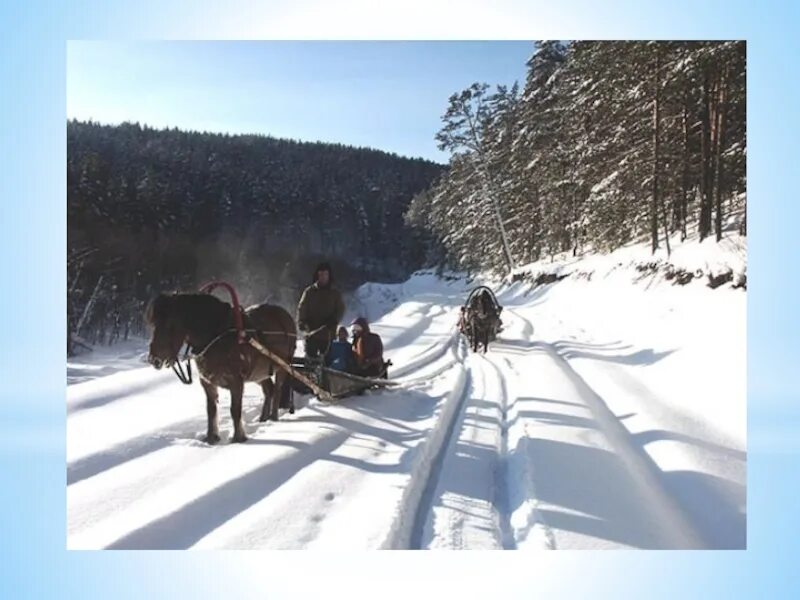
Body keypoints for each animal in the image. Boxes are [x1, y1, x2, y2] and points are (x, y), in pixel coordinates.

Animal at [146, 292, 296, 442]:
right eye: (153, 324)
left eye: (169, 324)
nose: (154, 359)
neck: (216, 336)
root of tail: (285, 315)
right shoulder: (207, 381)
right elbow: (211, 410)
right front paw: (212, 437)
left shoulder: (236, 381)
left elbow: (235, 410)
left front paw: (238, 438)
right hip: (259, 374)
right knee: (268, 390)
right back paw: (263, 418)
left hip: (283, 366)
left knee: (277, 390)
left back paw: (273, 417)